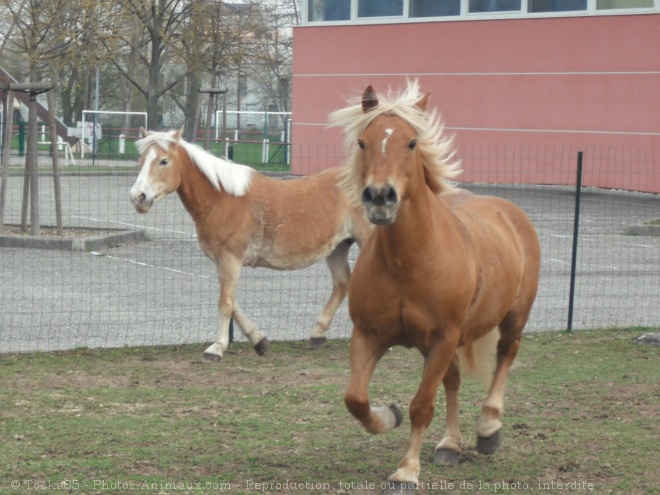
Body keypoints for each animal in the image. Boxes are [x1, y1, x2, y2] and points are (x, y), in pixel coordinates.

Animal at [130, 128, 372, 360]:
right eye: (141, 160)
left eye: (163, 161)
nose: (137, 197)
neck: (221, 199)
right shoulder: (221, 261)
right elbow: (231, 301)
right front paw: (258, 341)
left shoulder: (231, 259)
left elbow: (225, 303)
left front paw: (216, 349)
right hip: (338, 248)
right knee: (342, 283)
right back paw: (317, 334)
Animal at [330, 81, 540, 492]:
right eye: (363, 142)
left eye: (412, 142)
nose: (380, 197)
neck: (408, 262)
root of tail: (509, 212)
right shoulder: (370, 334)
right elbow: (356, 399)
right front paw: (388, 416)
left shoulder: (443, 336)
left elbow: (421, 406)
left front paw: (406, 471)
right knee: (454, 381)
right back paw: (449, 445)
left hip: (511, 319)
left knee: (505, 356)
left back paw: (488, 430)